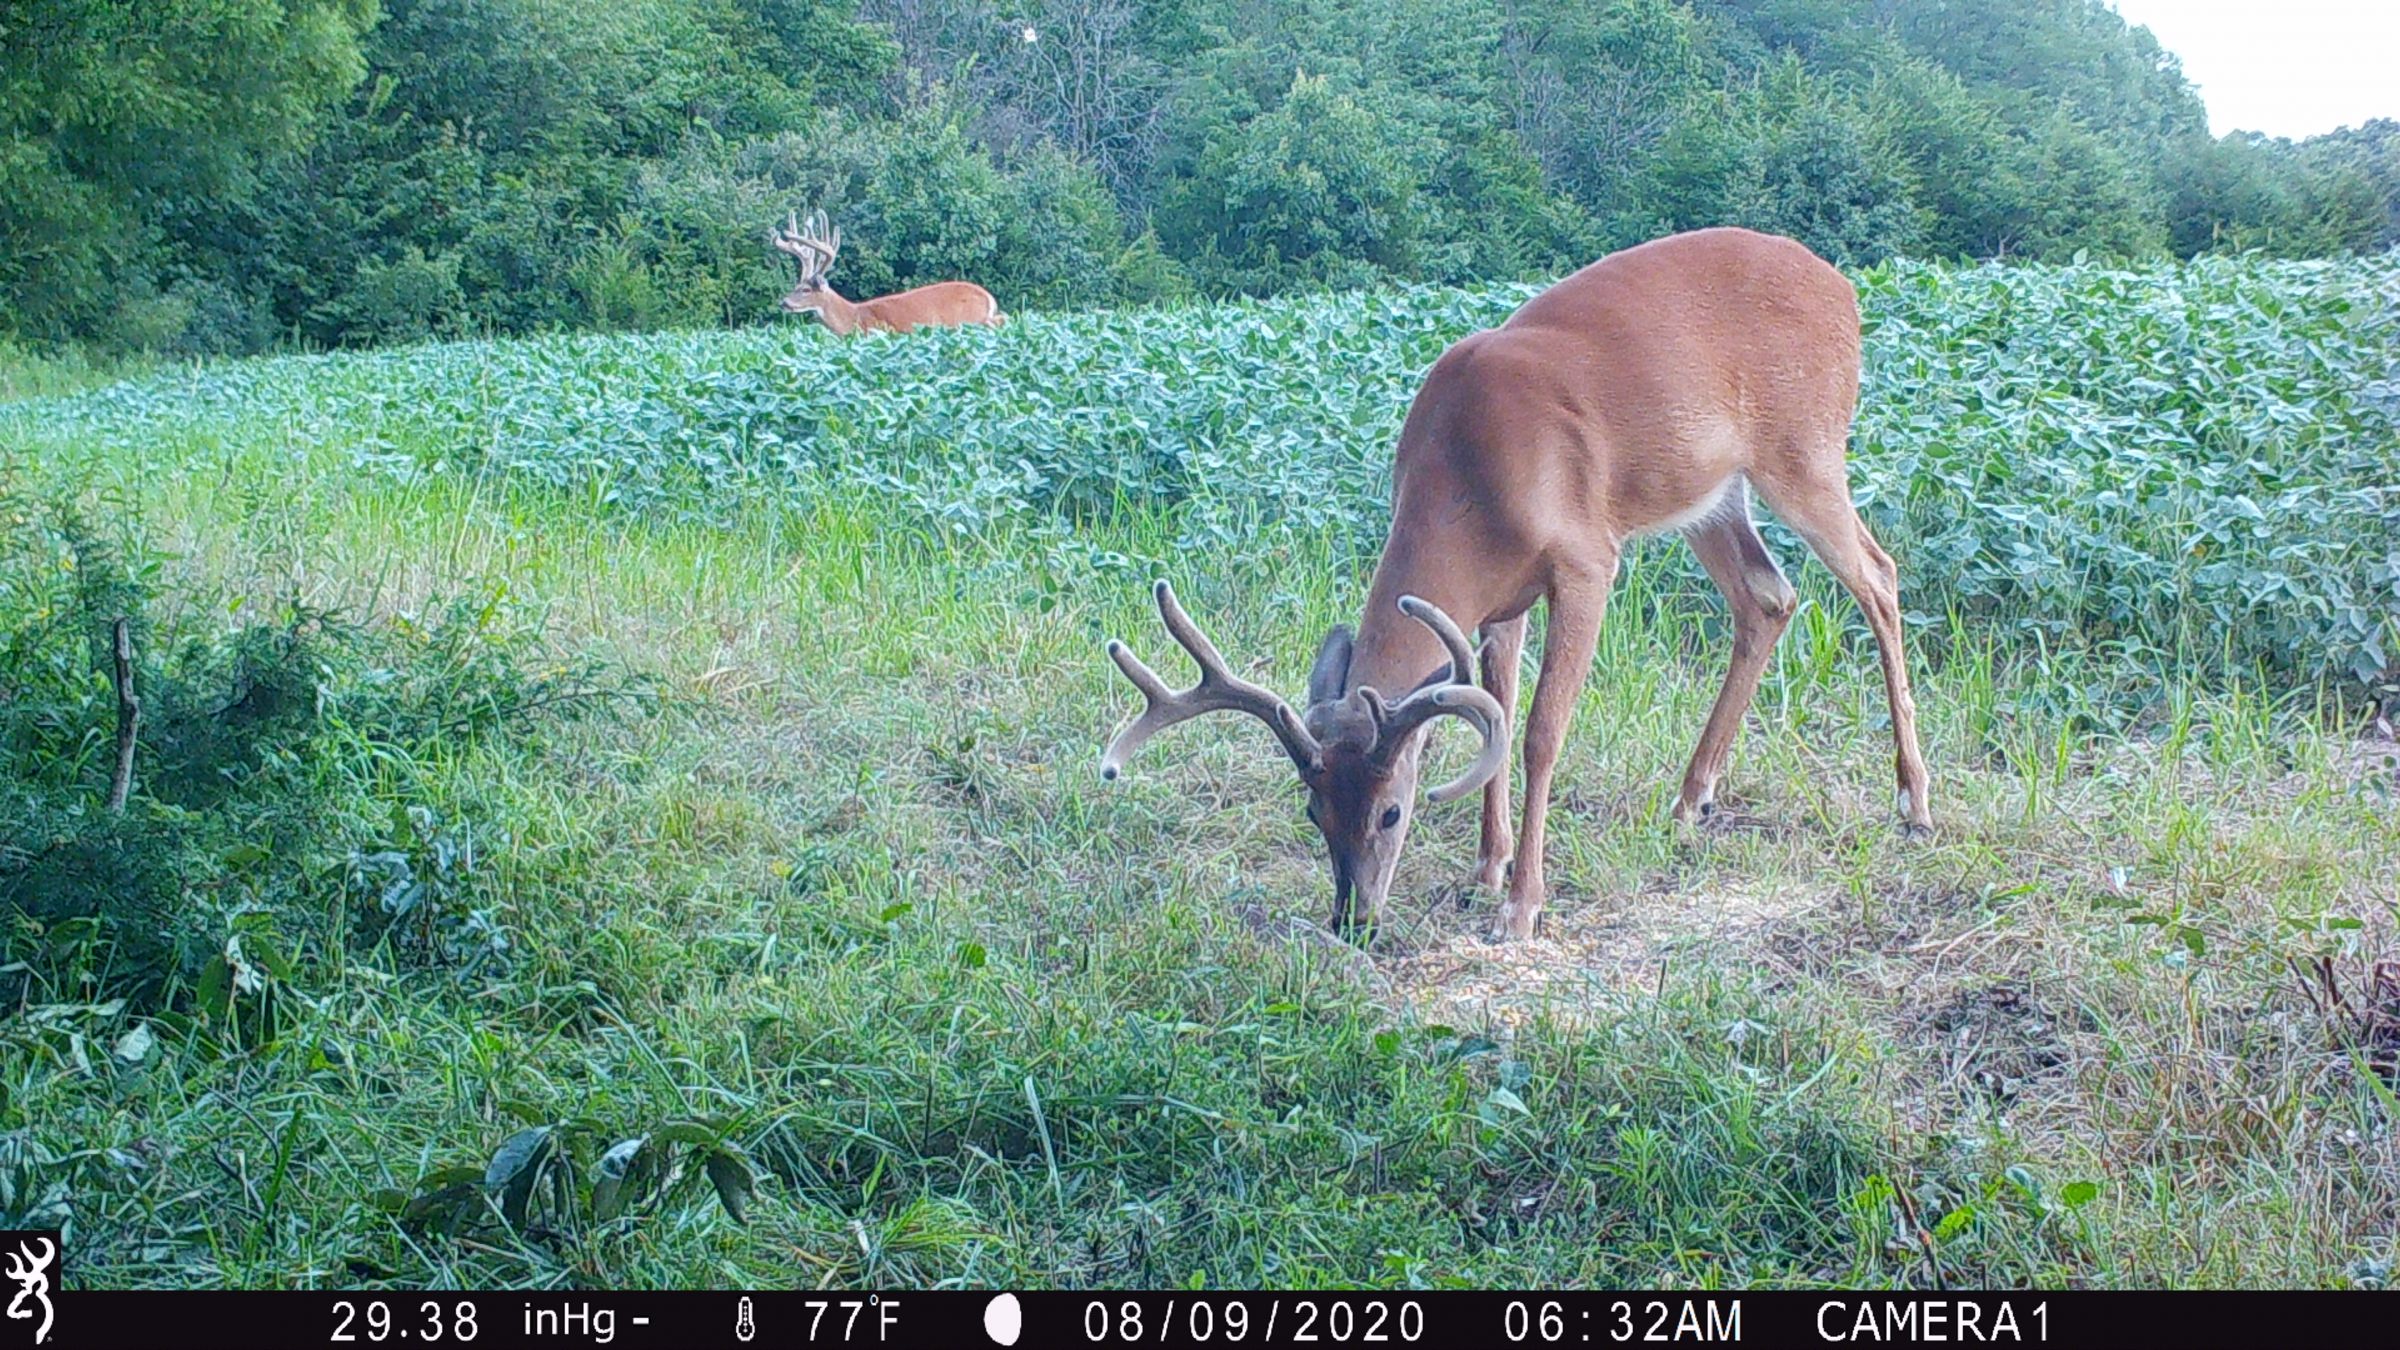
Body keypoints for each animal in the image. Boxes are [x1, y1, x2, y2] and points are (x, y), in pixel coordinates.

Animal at [763, 212, 998, 336]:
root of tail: (988, 297)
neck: (853, 318)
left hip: (970, 321)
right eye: (795, 286)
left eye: (804, 289)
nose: (783, 302)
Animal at [1099, 223, 1929, 936]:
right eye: (1314, 811)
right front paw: (1484, 873)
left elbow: (1537, 732)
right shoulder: (1500, 596)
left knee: (1879, 577)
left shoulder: (1587, 562)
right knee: (1768, 597)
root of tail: (1844, 289)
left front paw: (1523, 905)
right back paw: (1690, 803)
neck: (1469, 471)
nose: (1354, 920)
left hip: (1805, 448)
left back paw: (1913, 801)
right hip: (1710, 494)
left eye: (1392, 812)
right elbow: (1491, 712)